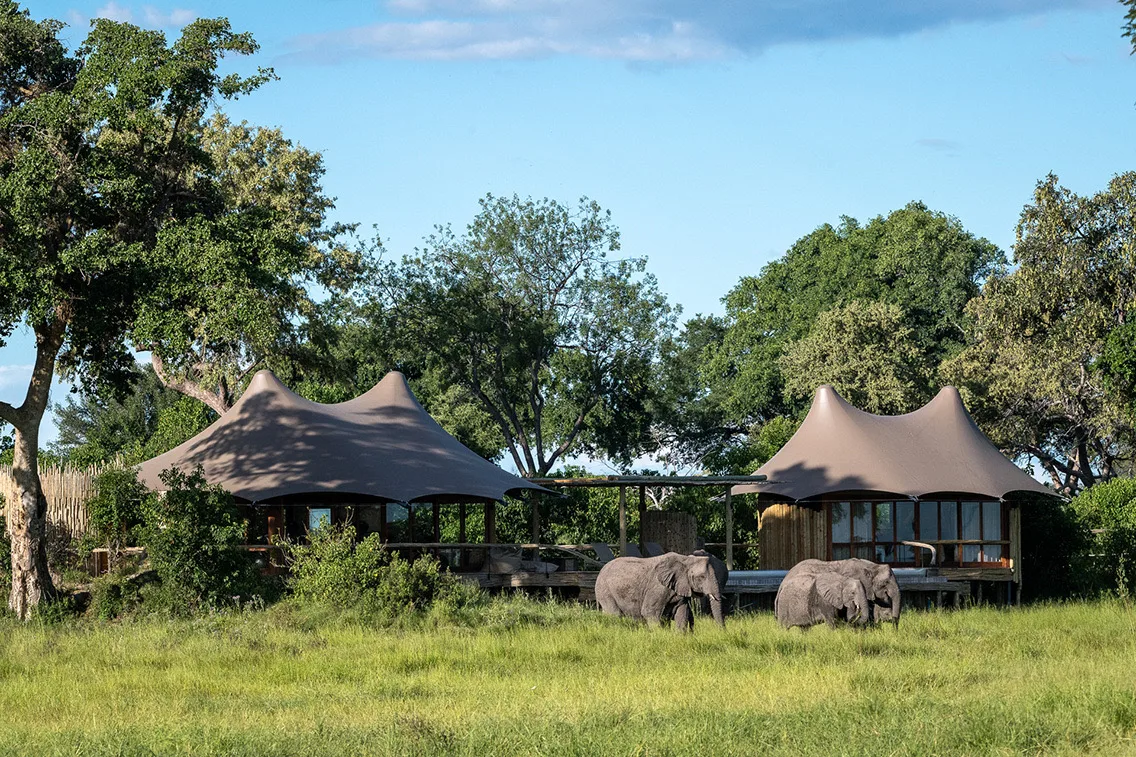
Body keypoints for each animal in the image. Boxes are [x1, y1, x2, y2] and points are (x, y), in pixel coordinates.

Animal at [595, 552, 725, 632]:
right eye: (701, 577)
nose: (722, 632)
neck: (686, 559)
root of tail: (601, 570)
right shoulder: (657, 588)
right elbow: (649, 612)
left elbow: (682, 613)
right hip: (604, 590)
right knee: (614, 614)